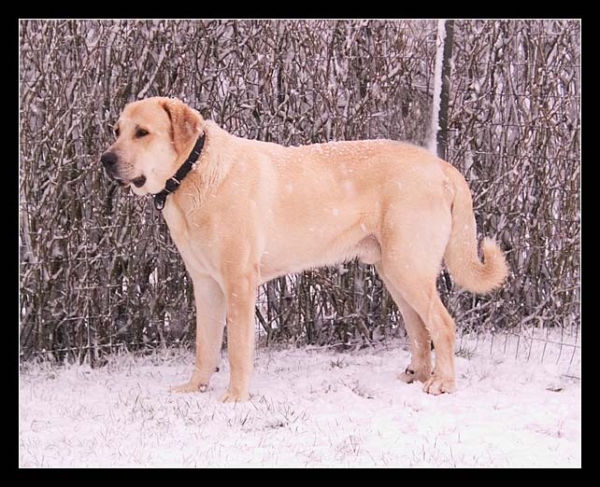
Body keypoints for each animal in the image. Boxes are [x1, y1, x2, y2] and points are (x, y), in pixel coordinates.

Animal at [102, 97, 506, 402]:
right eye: (117, 131)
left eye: (142, 132)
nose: (106, 160)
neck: (193, 173)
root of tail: (441, 165)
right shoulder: (205, 284)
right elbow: (205, 344)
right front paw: (194, 388)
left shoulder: (239, 283)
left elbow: (237, 349)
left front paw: (235, 398)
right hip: (394, 272)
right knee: (420, 329)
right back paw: (417, 374)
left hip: (408, 268)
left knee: (443, 324)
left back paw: (442, 383)